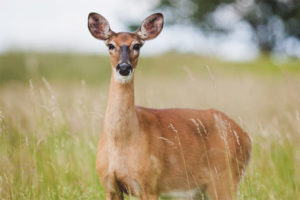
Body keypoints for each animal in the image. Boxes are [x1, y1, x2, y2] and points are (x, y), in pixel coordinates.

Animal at [86, 12, 251, 200]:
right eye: (110, 45)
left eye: (137, 45)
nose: (124, 67)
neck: (121, 141)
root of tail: (246, 137)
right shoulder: (109, 186)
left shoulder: (149, 185)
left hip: (225, 179)